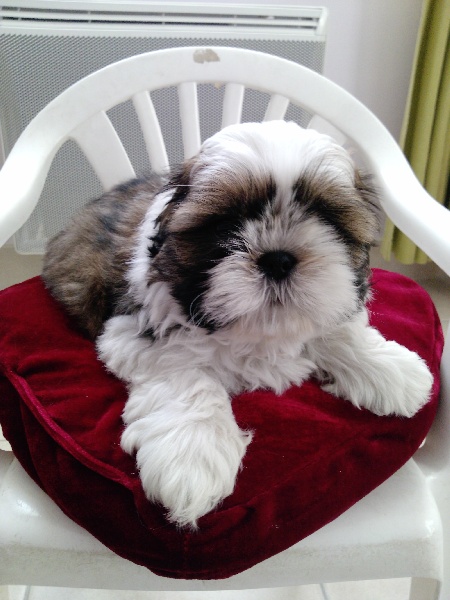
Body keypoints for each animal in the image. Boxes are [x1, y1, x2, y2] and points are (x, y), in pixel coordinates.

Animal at [42, 120, 433, 528]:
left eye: (325, 216)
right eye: (226, 223)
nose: (278, 259)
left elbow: (336, 329)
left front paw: (388, 368)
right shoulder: (132, 331)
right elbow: (184, 370)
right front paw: (193, 453)